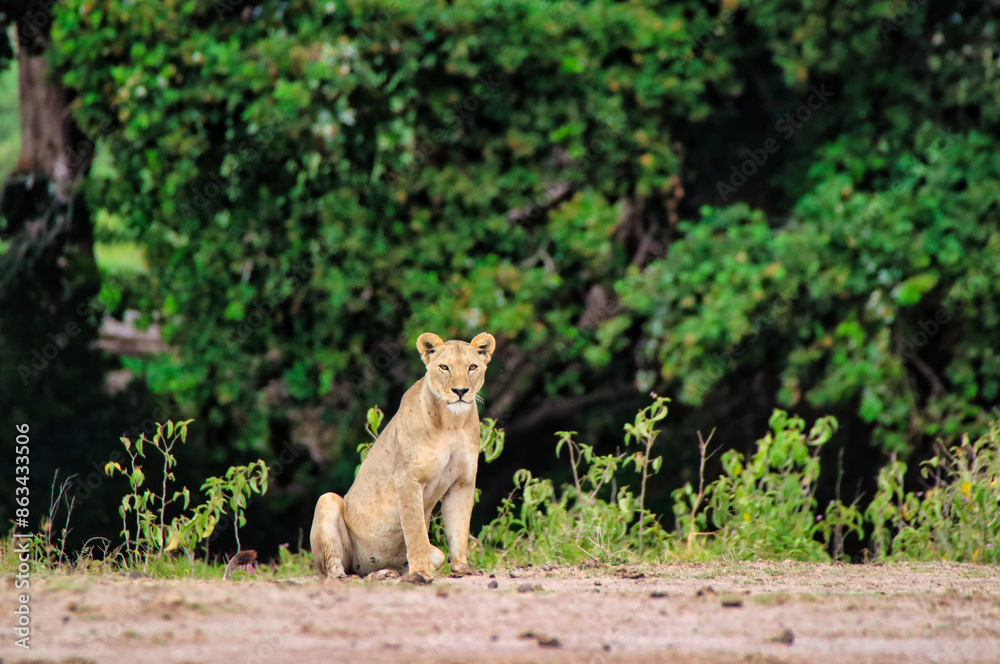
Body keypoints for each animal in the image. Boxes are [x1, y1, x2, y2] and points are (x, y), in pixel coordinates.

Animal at [310, 331, 496, 583]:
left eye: (472, 367)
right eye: (444, 367)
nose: (460, 391)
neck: (452, 423)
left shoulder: (462, 481)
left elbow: (459, 527)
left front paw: (461, 567)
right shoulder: (408, 478)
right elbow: (415, 530)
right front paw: (420, 572)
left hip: (434, 554)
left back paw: (387, 573)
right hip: (327, 501)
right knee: (336, 567)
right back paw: (352, 577)